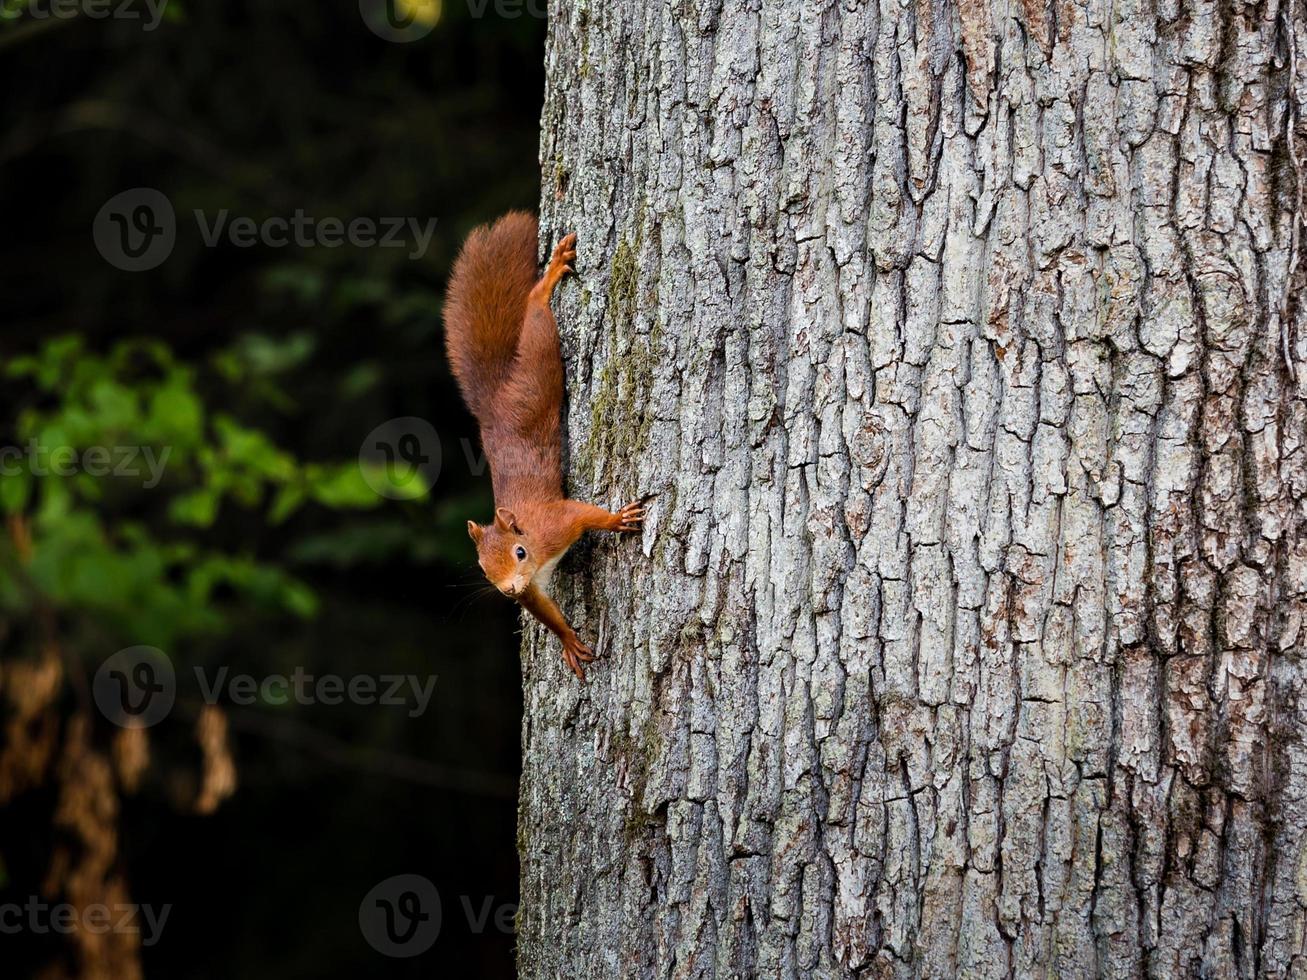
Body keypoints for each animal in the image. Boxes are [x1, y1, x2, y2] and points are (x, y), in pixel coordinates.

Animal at [444, 211, 643, 679]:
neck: (535, 549)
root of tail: (493, 404)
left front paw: (617, 519)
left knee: (536, 318)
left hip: (537, 373)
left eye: (519, 551)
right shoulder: (532, 588)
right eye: (483, 568)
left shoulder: (558, 523)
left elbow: (586, 514)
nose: (508, 590)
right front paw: (568, 639)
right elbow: (544, 611)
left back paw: (547, 280)